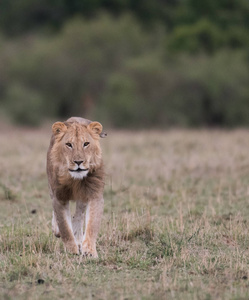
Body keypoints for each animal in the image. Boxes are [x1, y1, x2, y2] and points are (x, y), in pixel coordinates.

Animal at [46, 116, 107, 256]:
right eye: (69, 144)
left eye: (86, 144)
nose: (78, 162)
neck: (74, 179)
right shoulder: (59, 196)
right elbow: (64, 227)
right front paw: (71, 250)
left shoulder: (94, 194)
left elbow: (92, 224)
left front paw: (89, 251)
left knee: (79, 215)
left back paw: (79, 239)